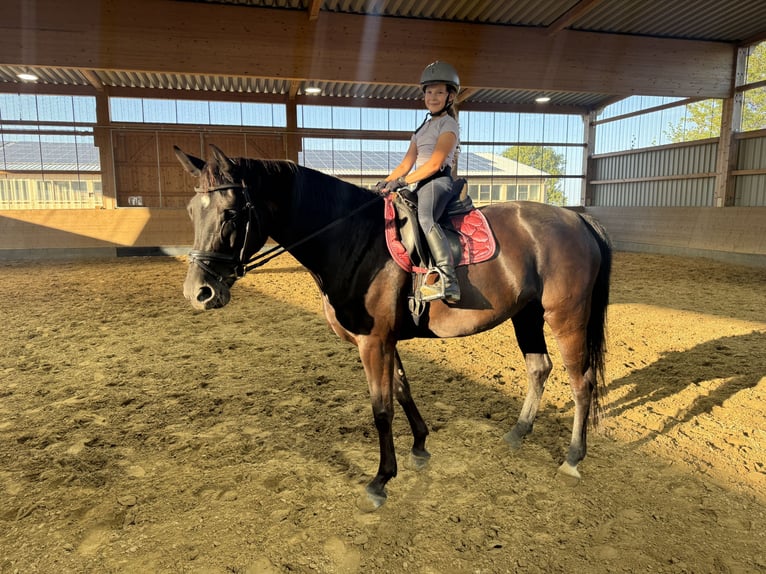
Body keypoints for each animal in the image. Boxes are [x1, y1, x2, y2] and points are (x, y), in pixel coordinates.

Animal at [174, 144, 612, 511]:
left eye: (232, 213)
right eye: (192, 212)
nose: (199, 292)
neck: (353, 239)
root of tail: (577, 217)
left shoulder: (372, 342)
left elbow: (381, 408)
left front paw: (381, 480)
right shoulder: (387, 340)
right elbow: (402, 389)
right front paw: (419, 445)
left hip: (566, 317)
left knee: (581, 383)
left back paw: (573, 457)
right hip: (527, 314)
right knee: (539, 368)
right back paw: (518, 433)